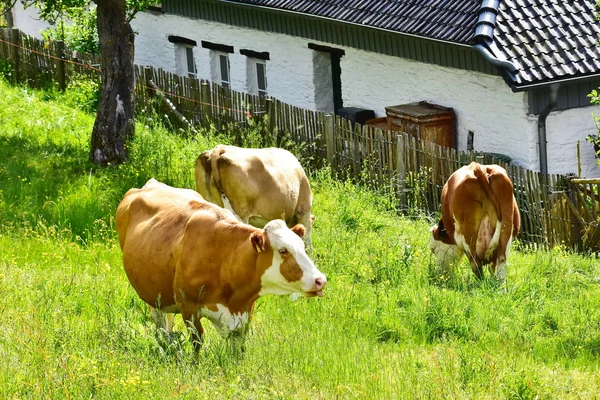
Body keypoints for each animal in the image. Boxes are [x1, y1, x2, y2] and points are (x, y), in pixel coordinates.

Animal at [115, 178, 326, 346]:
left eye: (302, 246)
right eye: (283, 250)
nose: (320, 280)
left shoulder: (243, 315)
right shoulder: (188, 307)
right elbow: (197, 343)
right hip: (153, 298)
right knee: (160, 324)